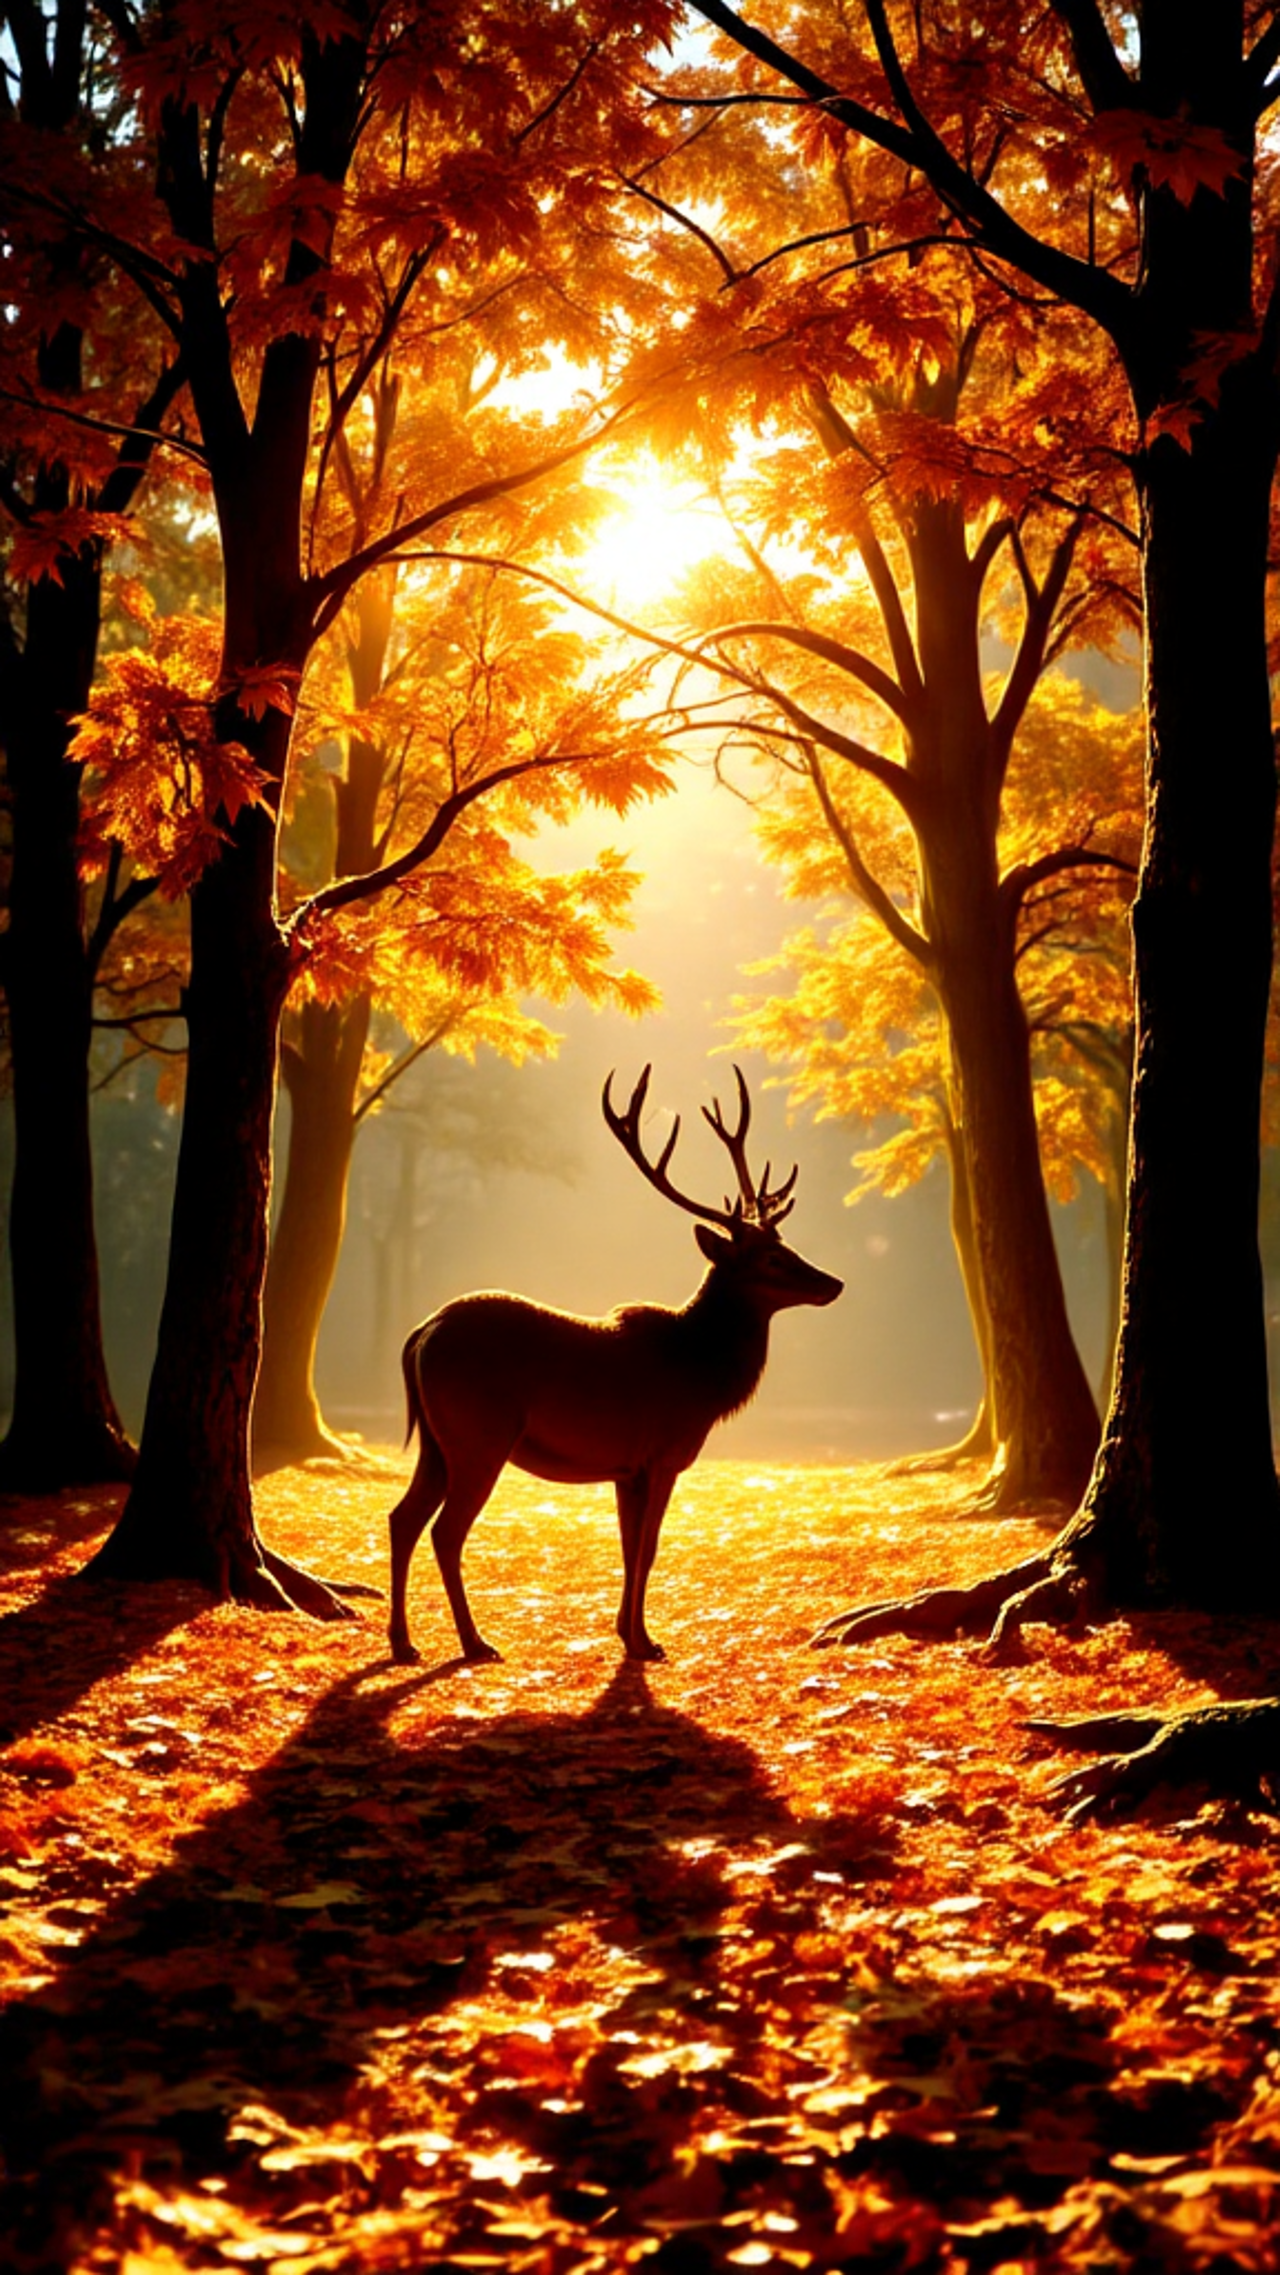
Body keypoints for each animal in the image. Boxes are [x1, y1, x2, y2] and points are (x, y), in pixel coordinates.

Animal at [386, 1064, 843, 1666]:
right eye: (771, 1257)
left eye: (785, 1242)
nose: (833, 1282)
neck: (702, 1374)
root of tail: (421, 1333)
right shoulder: (663, 1453)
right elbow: (648, 1549)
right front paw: (645, 1642)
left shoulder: (626, 1469)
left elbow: (628, 1549)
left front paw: (626, 1633)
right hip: (479, 1435)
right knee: (444, 1530)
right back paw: (474, 1642)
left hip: (437, 1442)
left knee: (402, 1517)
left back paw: (403, 1643)